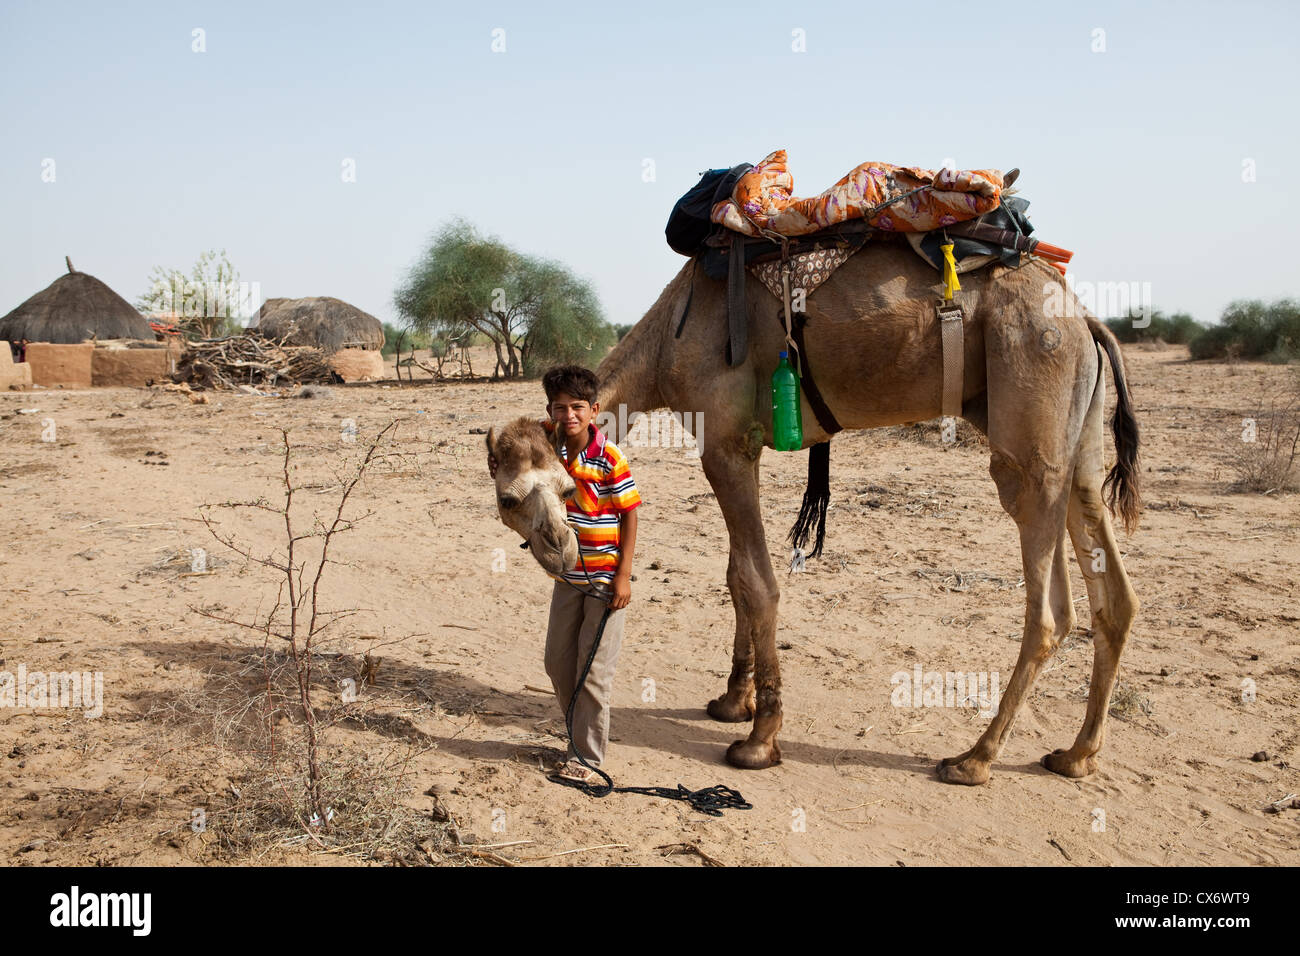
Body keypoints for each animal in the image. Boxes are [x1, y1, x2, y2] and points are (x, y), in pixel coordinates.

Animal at [488, 243, 1138, 790]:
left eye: (514, 498)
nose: (559, 549)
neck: (670, 338)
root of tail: (1086, 320)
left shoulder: (722, 442)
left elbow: (757, 581)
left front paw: (758, 741)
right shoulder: (739, 444)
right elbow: (735, 575)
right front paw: (733, 702)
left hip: (1028, 424)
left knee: (1050, 610)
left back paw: (973, 758)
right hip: (1078, 440)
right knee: (1112, 592)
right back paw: (1077, 754)